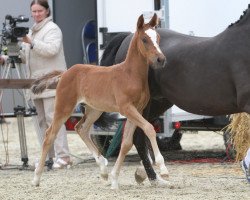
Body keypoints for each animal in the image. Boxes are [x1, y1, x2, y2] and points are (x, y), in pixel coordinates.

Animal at [30, 14, 168, 189]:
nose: (160, 59)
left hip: (94, 110)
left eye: (158, 38)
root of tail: (65, 73)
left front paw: (114, 179)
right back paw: (36, 178)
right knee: (50, 135)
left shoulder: (137, 110)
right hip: (64, 107)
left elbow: (126, 143)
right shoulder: (127, 108)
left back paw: (103, 169)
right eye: (144, 39)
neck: (130, 75)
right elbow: (149, 128)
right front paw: (163, 168)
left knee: (81, 128)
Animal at [100, 4, 250, 185]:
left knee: (141, 134)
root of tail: (128, 37)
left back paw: (149, 175)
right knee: (138, 137)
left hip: (157, 103)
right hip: (141, 104)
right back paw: (154, 178)